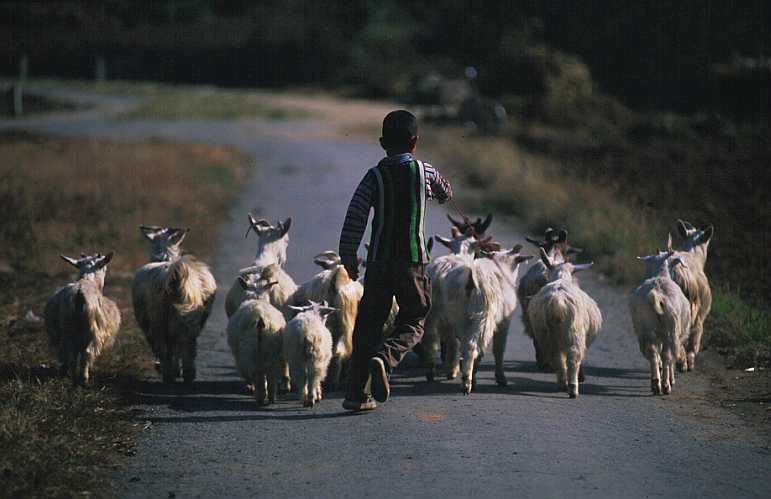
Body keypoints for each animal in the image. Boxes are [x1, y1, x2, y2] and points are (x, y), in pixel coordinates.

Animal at [45, 252, 121, 385]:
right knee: (85, 353)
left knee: (70, 355)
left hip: (69, 330)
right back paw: (83, 378)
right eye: (105, 268)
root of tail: (79, 293)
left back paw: (71, 376)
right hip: (90, 332)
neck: (87, 280)